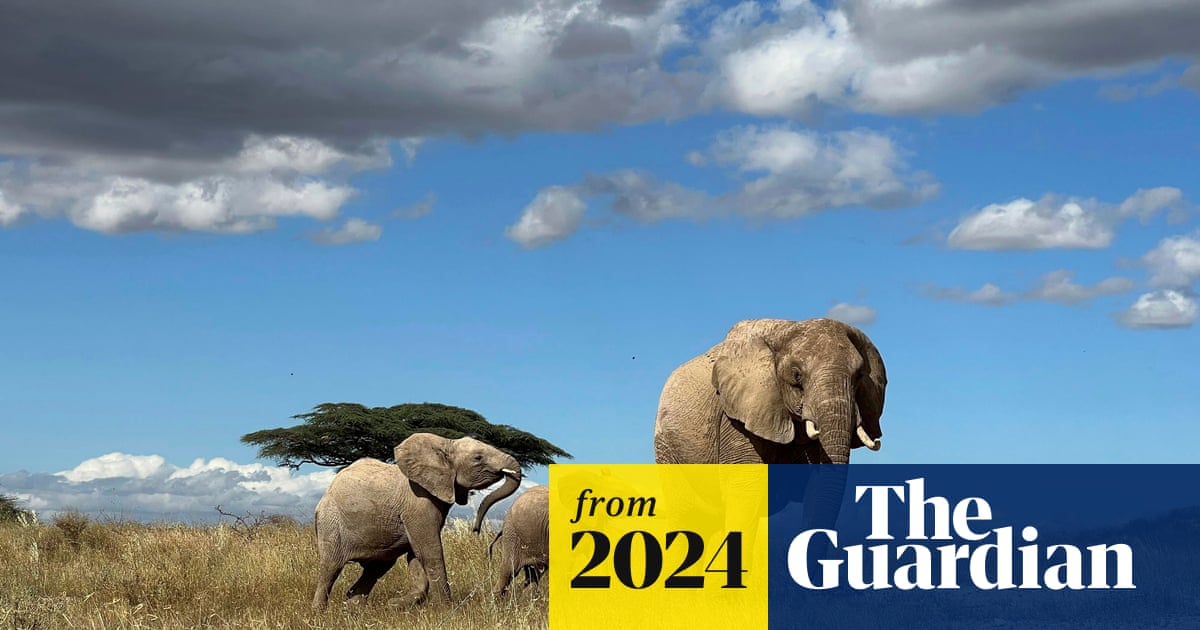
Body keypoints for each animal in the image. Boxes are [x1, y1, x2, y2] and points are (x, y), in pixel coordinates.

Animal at [310, 432, 522, 611]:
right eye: (478, 458)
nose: (475, 530)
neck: (445, 444)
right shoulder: (418, 501)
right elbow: (429, 551)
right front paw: (446, 609)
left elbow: (416, 554)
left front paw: (395, 604)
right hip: (331, 522)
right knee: (330, 567)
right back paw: (319, 612)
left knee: (376, 568)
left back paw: (352, 609)